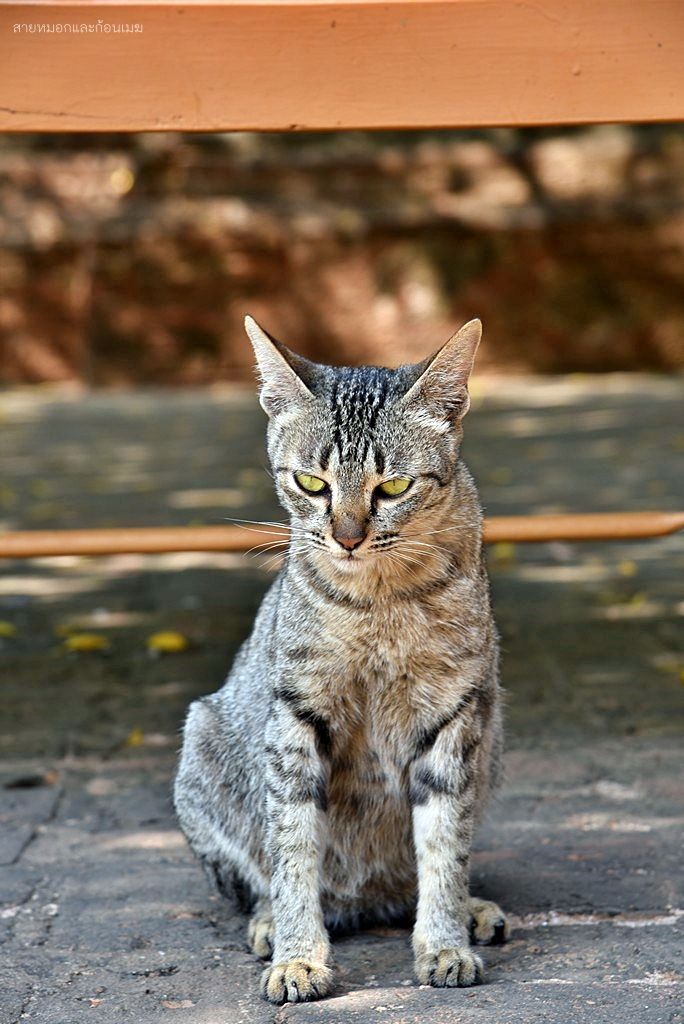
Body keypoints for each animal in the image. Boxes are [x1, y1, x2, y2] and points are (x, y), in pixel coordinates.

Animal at [174, 315, 507, 1004]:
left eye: (394, 486)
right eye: (311, 483)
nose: (347, 536)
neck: (381, 602)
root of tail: (364, 901)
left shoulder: (454, 713)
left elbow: (445, 845)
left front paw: (443, 943)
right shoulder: (296, 716)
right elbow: (295, 848)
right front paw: (300, 957)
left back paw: (466, 909)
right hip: (203, 744)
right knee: (267, 879)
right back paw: (272, 923)